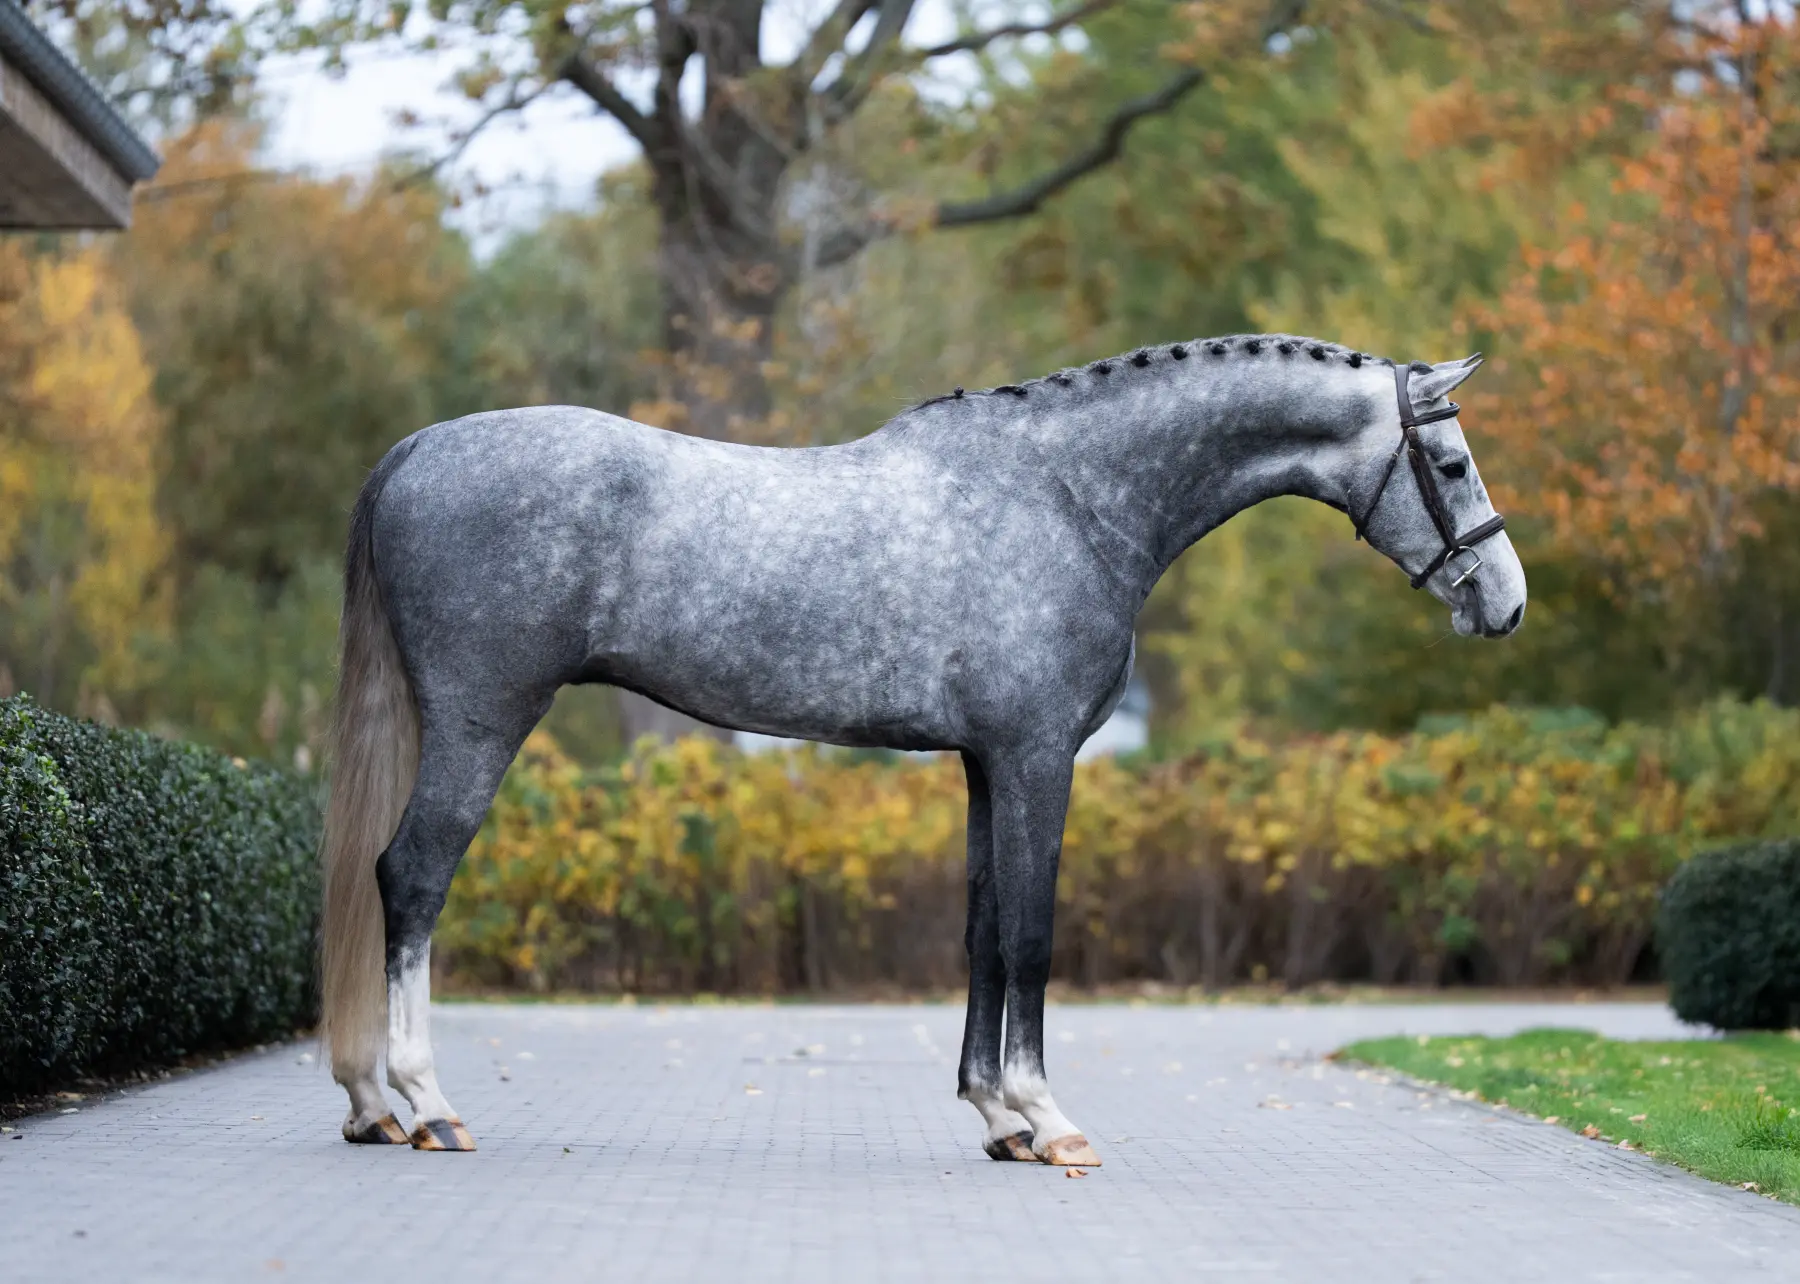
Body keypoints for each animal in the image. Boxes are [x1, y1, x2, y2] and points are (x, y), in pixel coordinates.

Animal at [318, 333, 1526, 1160]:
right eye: (1451, 464)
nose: (1506, 604)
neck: (1068, 499)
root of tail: (416, 450)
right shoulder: (1038, 756)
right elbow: (1032, 936)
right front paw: (1050, 1117)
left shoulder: (986, 764)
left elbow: (984, 930)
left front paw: (999, 1119)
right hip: (481, 721)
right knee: (412, 877)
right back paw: (425, 1103)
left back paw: (374, 1105)